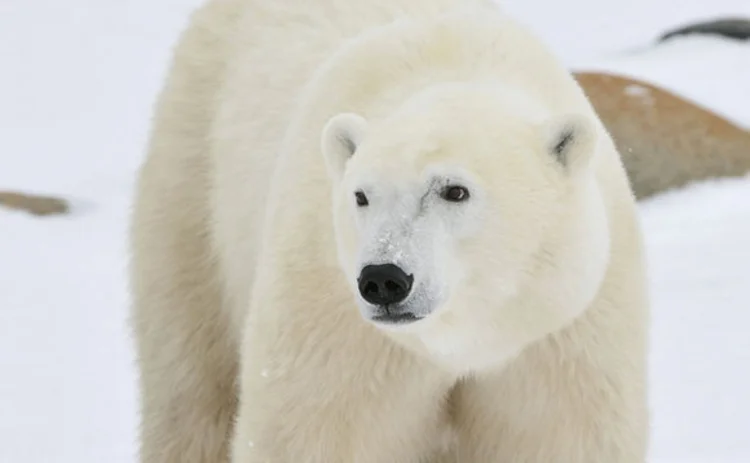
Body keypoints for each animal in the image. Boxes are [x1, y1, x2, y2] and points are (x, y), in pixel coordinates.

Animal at [129, 0, 652, 462]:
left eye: (454, 190)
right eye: (361, 195)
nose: (384, 278)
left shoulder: (563, 338)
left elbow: (564, 438)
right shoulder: (332, 315)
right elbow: (309, 430)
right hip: (192, 179)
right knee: (190, 385)